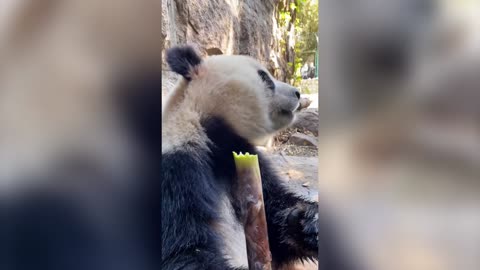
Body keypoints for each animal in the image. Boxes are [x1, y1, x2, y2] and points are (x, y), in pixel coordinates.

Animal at [161, 45, 352, 268]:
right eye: (264, 76)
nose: (297, 93)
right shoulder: (176, 169)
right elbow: (183, 250)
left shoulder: (240, 155)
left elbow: (275, 215)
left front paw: (309, 222)